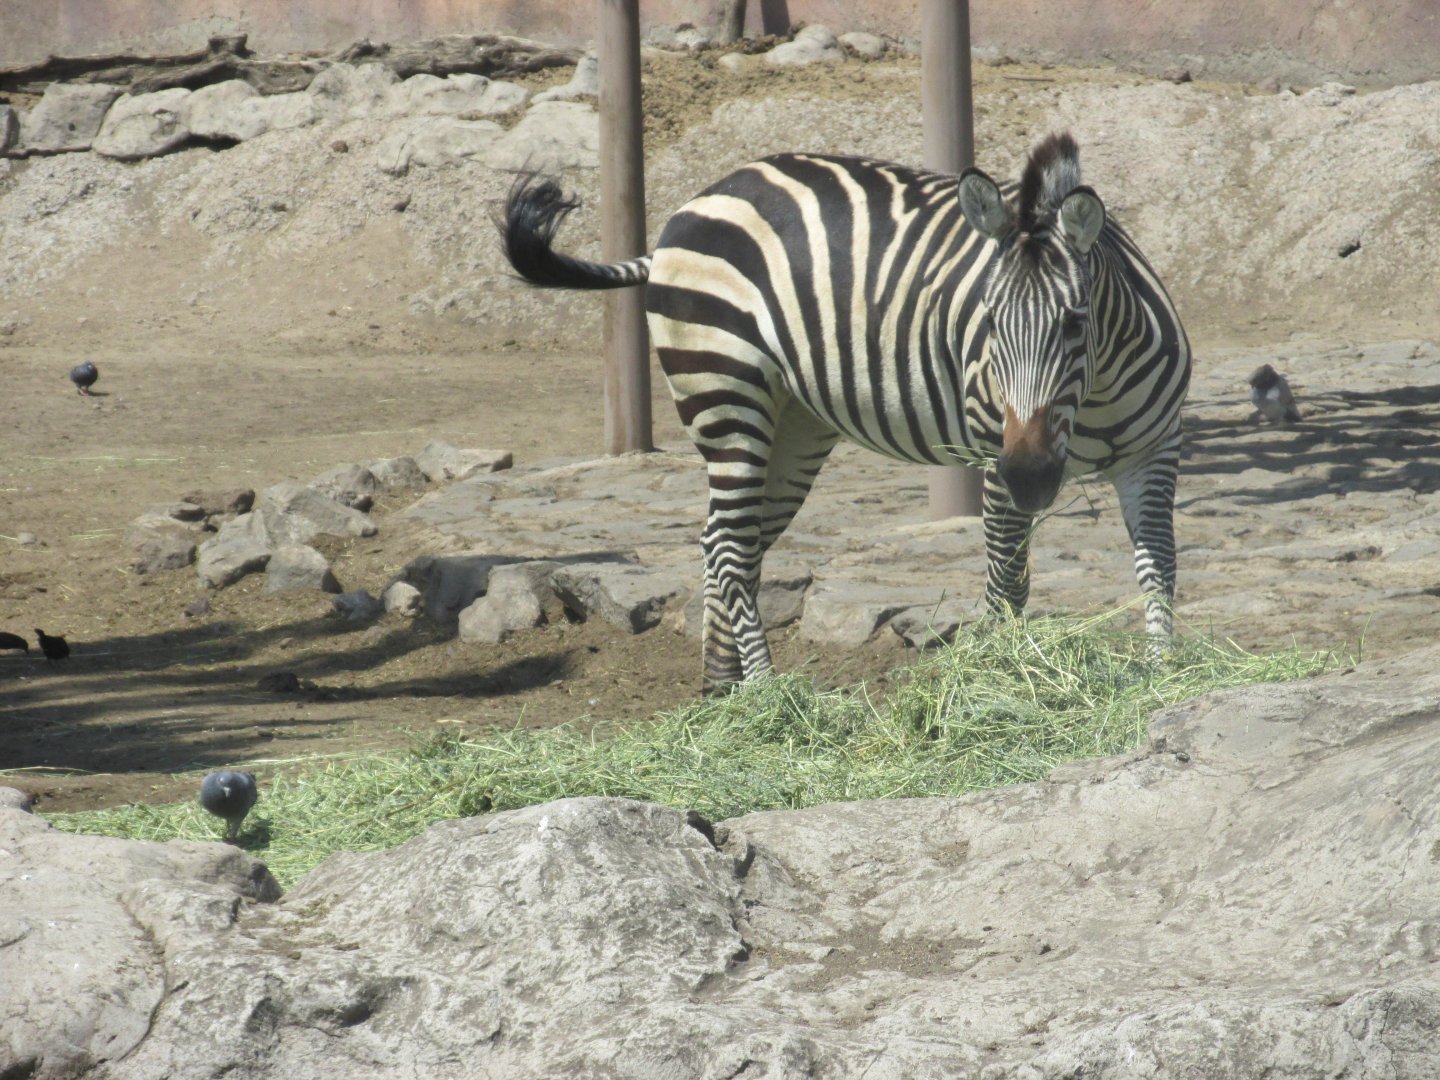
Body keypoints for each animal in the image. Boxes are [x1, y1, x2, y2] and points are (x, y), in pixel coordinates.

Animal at [501, 132, 1191, 694]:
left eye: (1075, 323)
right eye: (989, 322)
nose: (1032, 477)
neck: (1094, 395)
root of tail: (694, 205)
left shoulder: (1155, 456)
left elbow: (1159, 565)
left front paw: (1163, 677)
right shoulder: (993, 453)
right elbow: (1007, 579)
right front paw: (1004, 674)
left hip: (794, 428)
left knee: (724, 541)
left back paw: (723, 688)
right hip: (726, 395)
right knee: (728, 545)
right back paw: (769, 693)